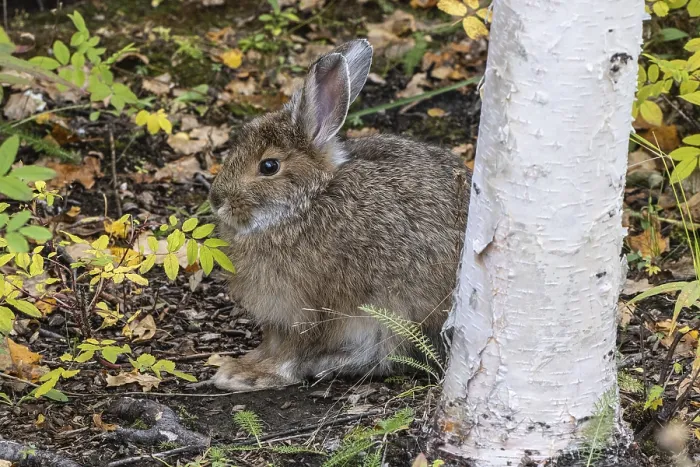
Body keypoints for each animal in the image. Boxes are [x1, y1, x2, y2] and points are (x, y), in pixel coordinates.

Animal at [207, 39, 471, 391]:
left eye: (269, 166)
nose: (216, 200)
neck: (307, 203)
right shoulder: (280, 320)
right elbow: (270, 344)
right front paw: (242, 365)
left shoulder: (310, 311)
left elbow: (292, 351)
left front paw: (251, 375)